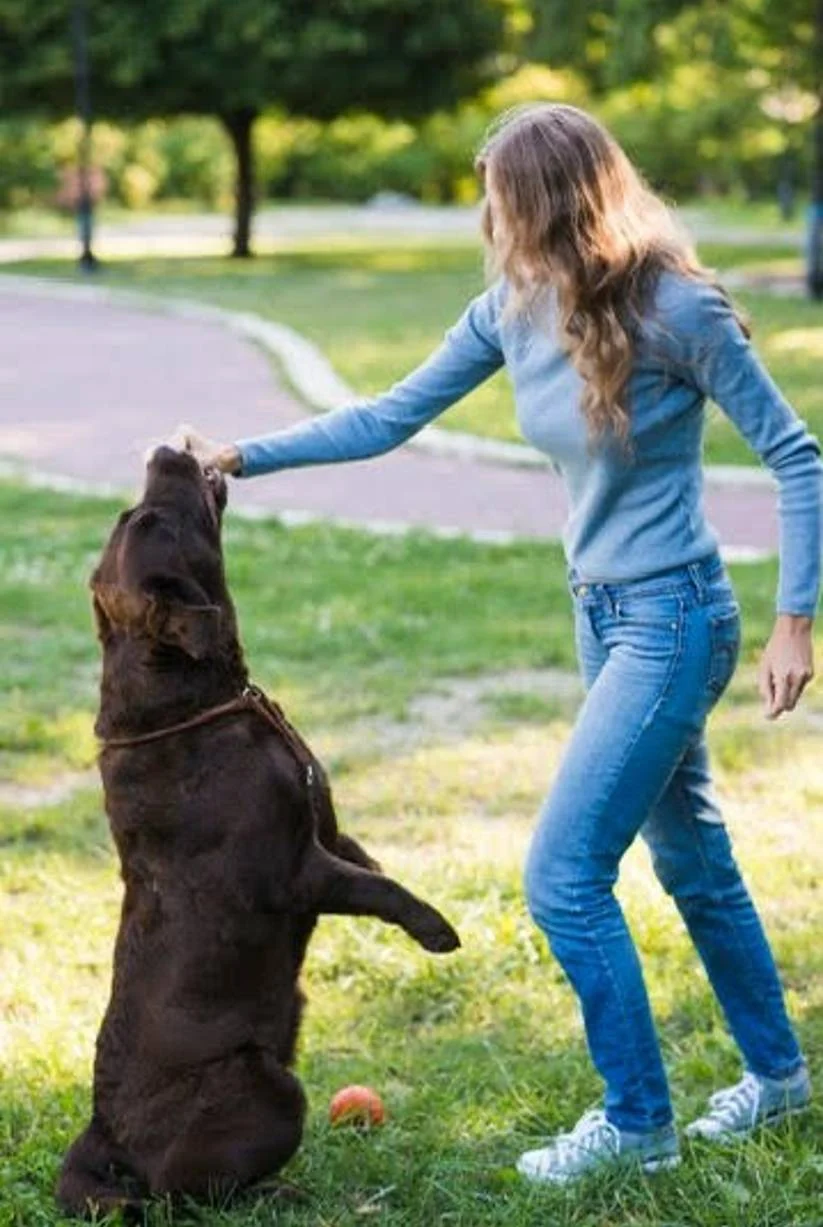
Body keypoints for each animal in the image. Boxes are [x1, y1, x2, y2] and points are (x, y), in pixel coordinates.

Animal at [57, 451, 461, 1217]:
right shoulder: (298, 871)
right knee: (182, 1195)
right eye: (149, 521)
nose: (164, 451)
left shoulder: (329, 831)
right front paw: (437, 929)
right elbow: (381, 890)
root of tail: (101, 1133)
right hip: (268, 1088)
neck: (198, 702)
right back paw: (280, 1191)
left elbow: (370, 865)